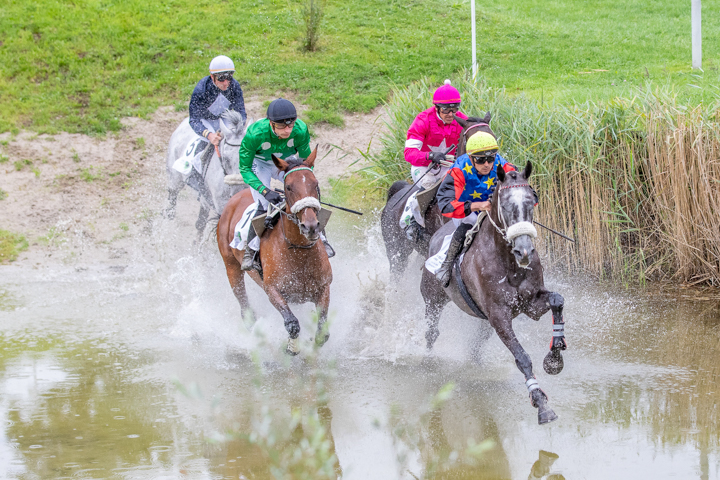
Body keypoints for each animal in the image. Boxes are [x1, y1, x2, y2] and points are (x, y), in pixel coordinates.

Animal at [217, 150, 332, 356]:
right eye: (288, 187)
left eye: (315, 183)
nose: (310, 226)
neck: (298, 251)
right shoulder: (272, 289)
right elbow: (292, 324)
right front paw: (292, 348)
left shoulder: (323, 287)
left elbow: (322, 333)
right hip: (231, 265)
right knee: (243, 303)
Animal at [422, 160, 568, 424]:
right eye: (506, 206)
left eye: (531, 201)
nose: (524, 251)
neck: (509, 264)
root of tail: (435, 235)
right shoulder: (499, 315)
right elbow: (522, 357)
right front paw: (541, 404)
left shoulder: (530, 304)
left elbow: (557, 300)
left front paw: (554, 359)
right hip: (432, 299)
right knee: (431, 332)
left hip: (483, 321)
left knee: (475, 345)